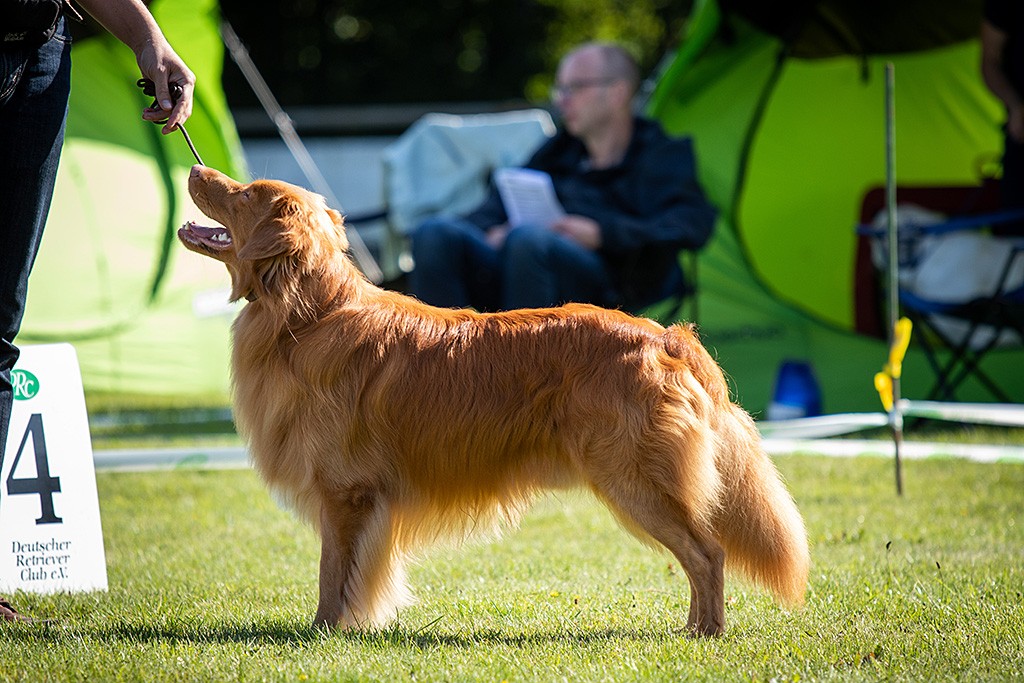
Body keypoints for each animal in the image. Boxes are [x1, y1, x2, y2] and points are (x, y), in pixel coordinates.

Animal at [180, 163, 811, 634]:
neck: (307, 314)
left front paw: (324, 634)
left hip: (634, 479)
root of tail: (666, 336)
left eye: (245, 193)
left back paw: (703, 633)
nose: (194, 167)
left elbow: (332, 574)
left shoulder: (346, 492)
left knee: (708, 554)